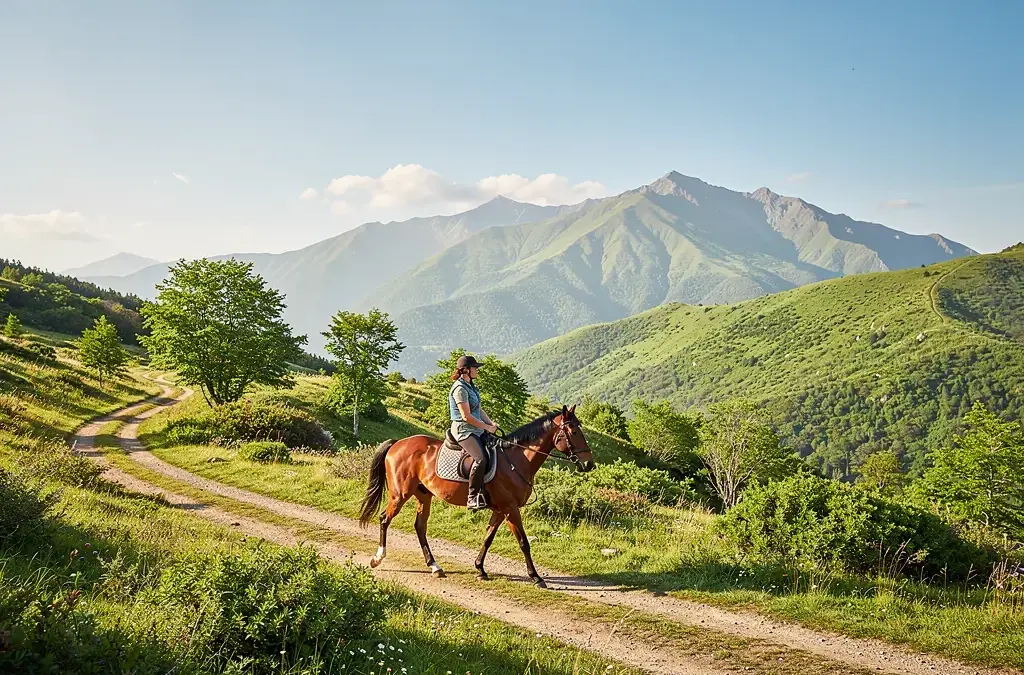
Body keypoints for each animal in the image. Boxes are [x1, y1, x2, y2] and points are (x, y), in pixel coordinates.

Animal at [358, 404, 594, 587]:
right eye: (574, 432)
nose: (589, 464)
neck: (516, 459)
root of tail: (397, 443)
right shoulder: (510, 508)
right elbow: (523, 542)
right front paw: (536, 577)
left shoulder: (500, 510)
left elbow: (488, 538)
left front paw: (480, 569)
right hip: (400, 494)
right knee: (385, 519)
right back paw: (377, 558)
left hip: (424, 495)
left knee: (420, 527)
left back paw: (435, 566)